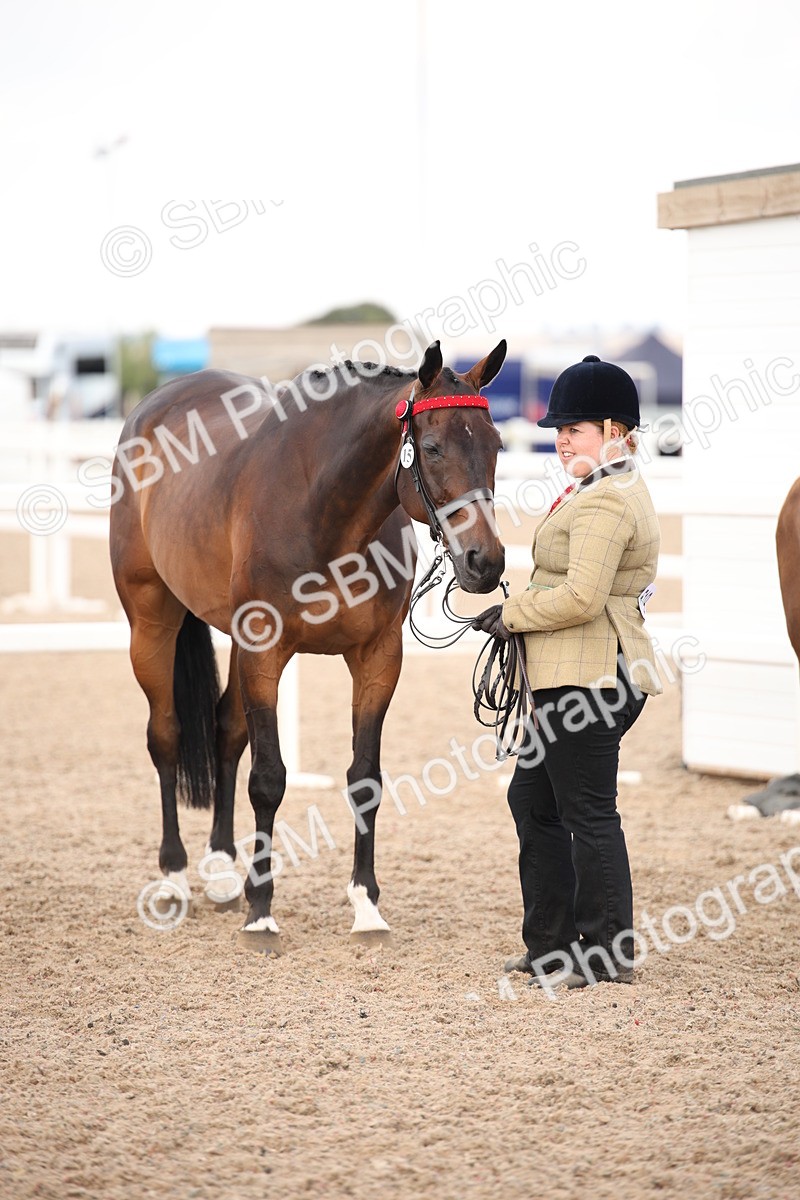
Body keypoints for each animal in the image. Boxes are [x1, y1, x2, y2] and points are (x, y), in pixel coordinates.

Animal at [110, 339, 507, 937]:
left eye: (496, 446)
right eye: (433, 448)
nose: (486, 562)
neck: (325, 512)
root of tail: (156, 402)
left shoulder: (377, 657)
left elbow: (365, 778)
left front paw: (366, 905)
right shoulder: (264, 650)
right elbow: (268, 779)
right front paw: (262, 913)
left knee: (226, 731)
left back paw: (221, 869)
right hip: (151, 621)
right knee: (167, 736)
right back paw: (175, 877)